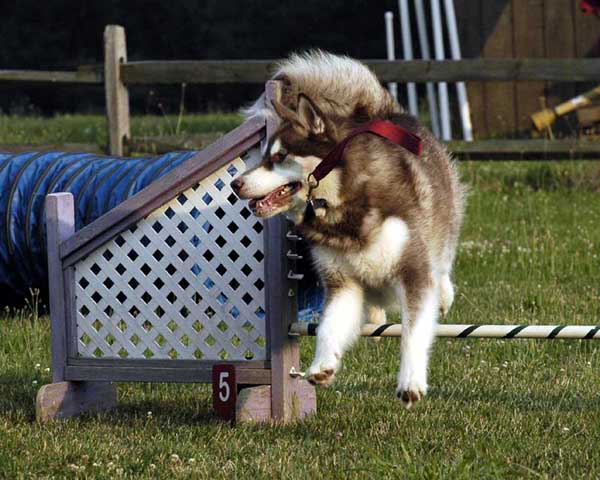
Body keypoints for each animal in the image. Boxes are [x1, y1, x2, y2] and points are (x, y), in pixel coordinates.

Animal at [230, 50, 464, 406]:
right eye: (264, 156)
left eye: (280, 157)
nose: (235, 184)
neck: (341, 209)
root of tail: (382, 112)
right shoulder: (342, 283)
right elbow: (329, 326)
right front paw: (322, 364)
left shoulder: (413, 271)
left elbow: (413, 332)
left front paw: (410, 381)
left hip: (443, 221)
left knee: (442, 262)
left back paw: (443, 293)